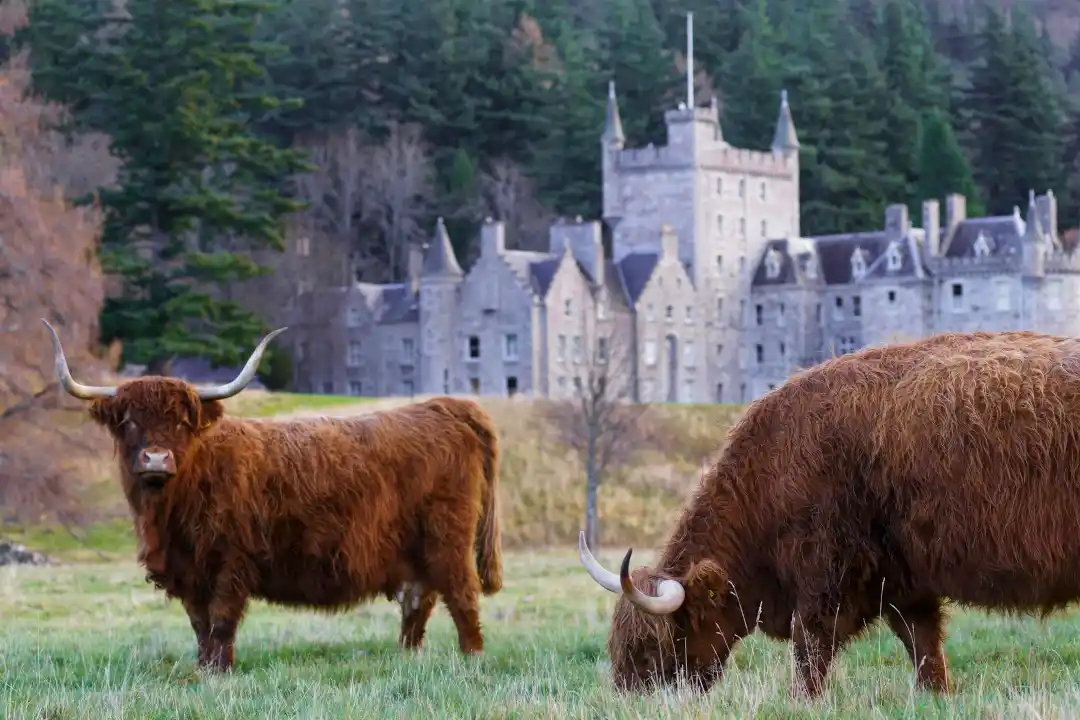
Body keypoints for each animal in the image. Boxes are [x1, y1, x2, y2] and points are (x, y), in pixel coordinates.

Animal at [42, 319, 502, 672]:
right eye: (130, 422)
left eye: (181, 422)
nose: (156, 459)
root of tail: (444, 407)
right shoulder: (188, 569)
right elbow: (199, 624)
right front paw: (203, 667)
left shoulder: (232, 560)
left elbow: (221, 620)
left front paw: (220, 673)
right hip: (416, 553)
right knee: (417, 603)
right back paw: (406, 658)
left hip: (447, 540)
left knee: (462, 596)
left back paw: (473, 660)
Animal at [579, 329, 1080, 699]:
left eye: (654, 647)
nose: (624, 698)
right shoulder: (904, 582)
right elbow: (922, 645)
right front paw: (936, 694)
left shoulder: (827, 574)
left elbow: (812, 646)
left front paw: (801, 700)